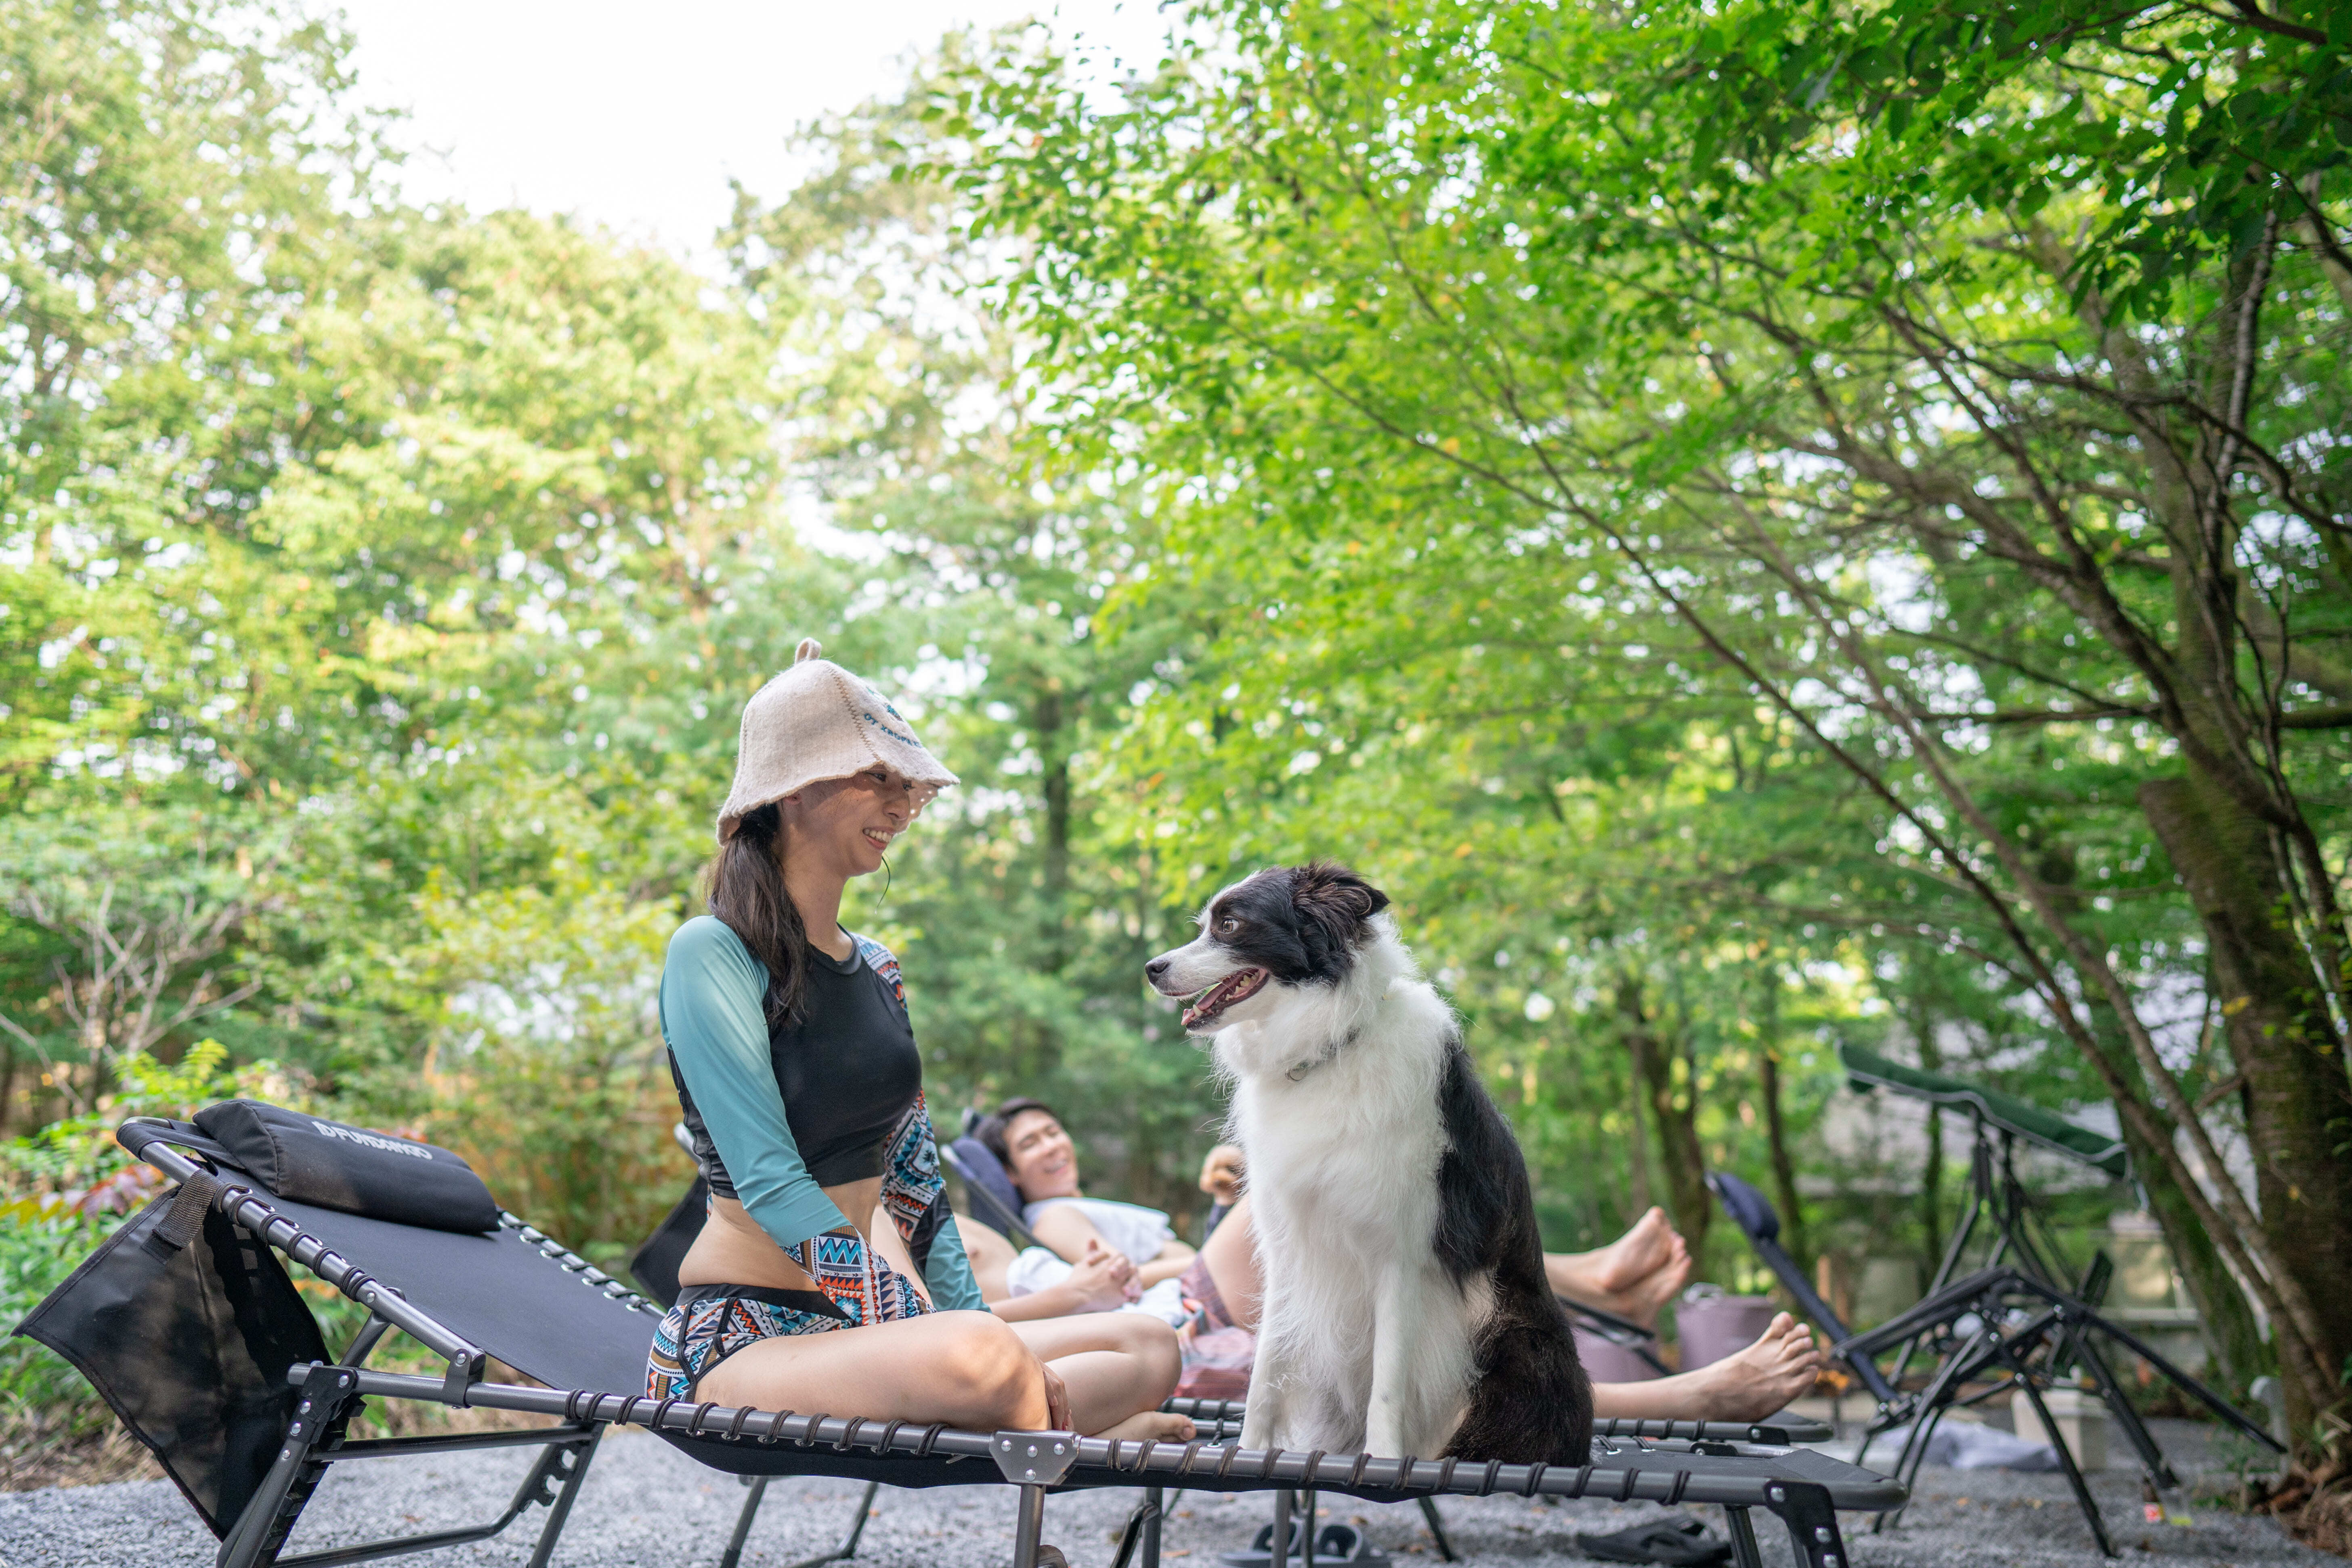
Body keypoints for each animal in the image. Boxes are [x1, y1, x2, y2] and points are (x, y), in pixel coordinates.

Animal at [1145, 862, 1592, 1463]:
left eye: (1231, 924)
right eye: (1203, 926)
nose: (1152, 968)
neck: (1330, 1048)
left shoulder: (1399, 1255)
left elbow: (1388, 1380)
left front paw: (1381, 1461)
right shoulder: (1286, 1244)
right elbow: (1266, 1367)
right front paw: (1251, 1447)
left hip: (1512, 1334)